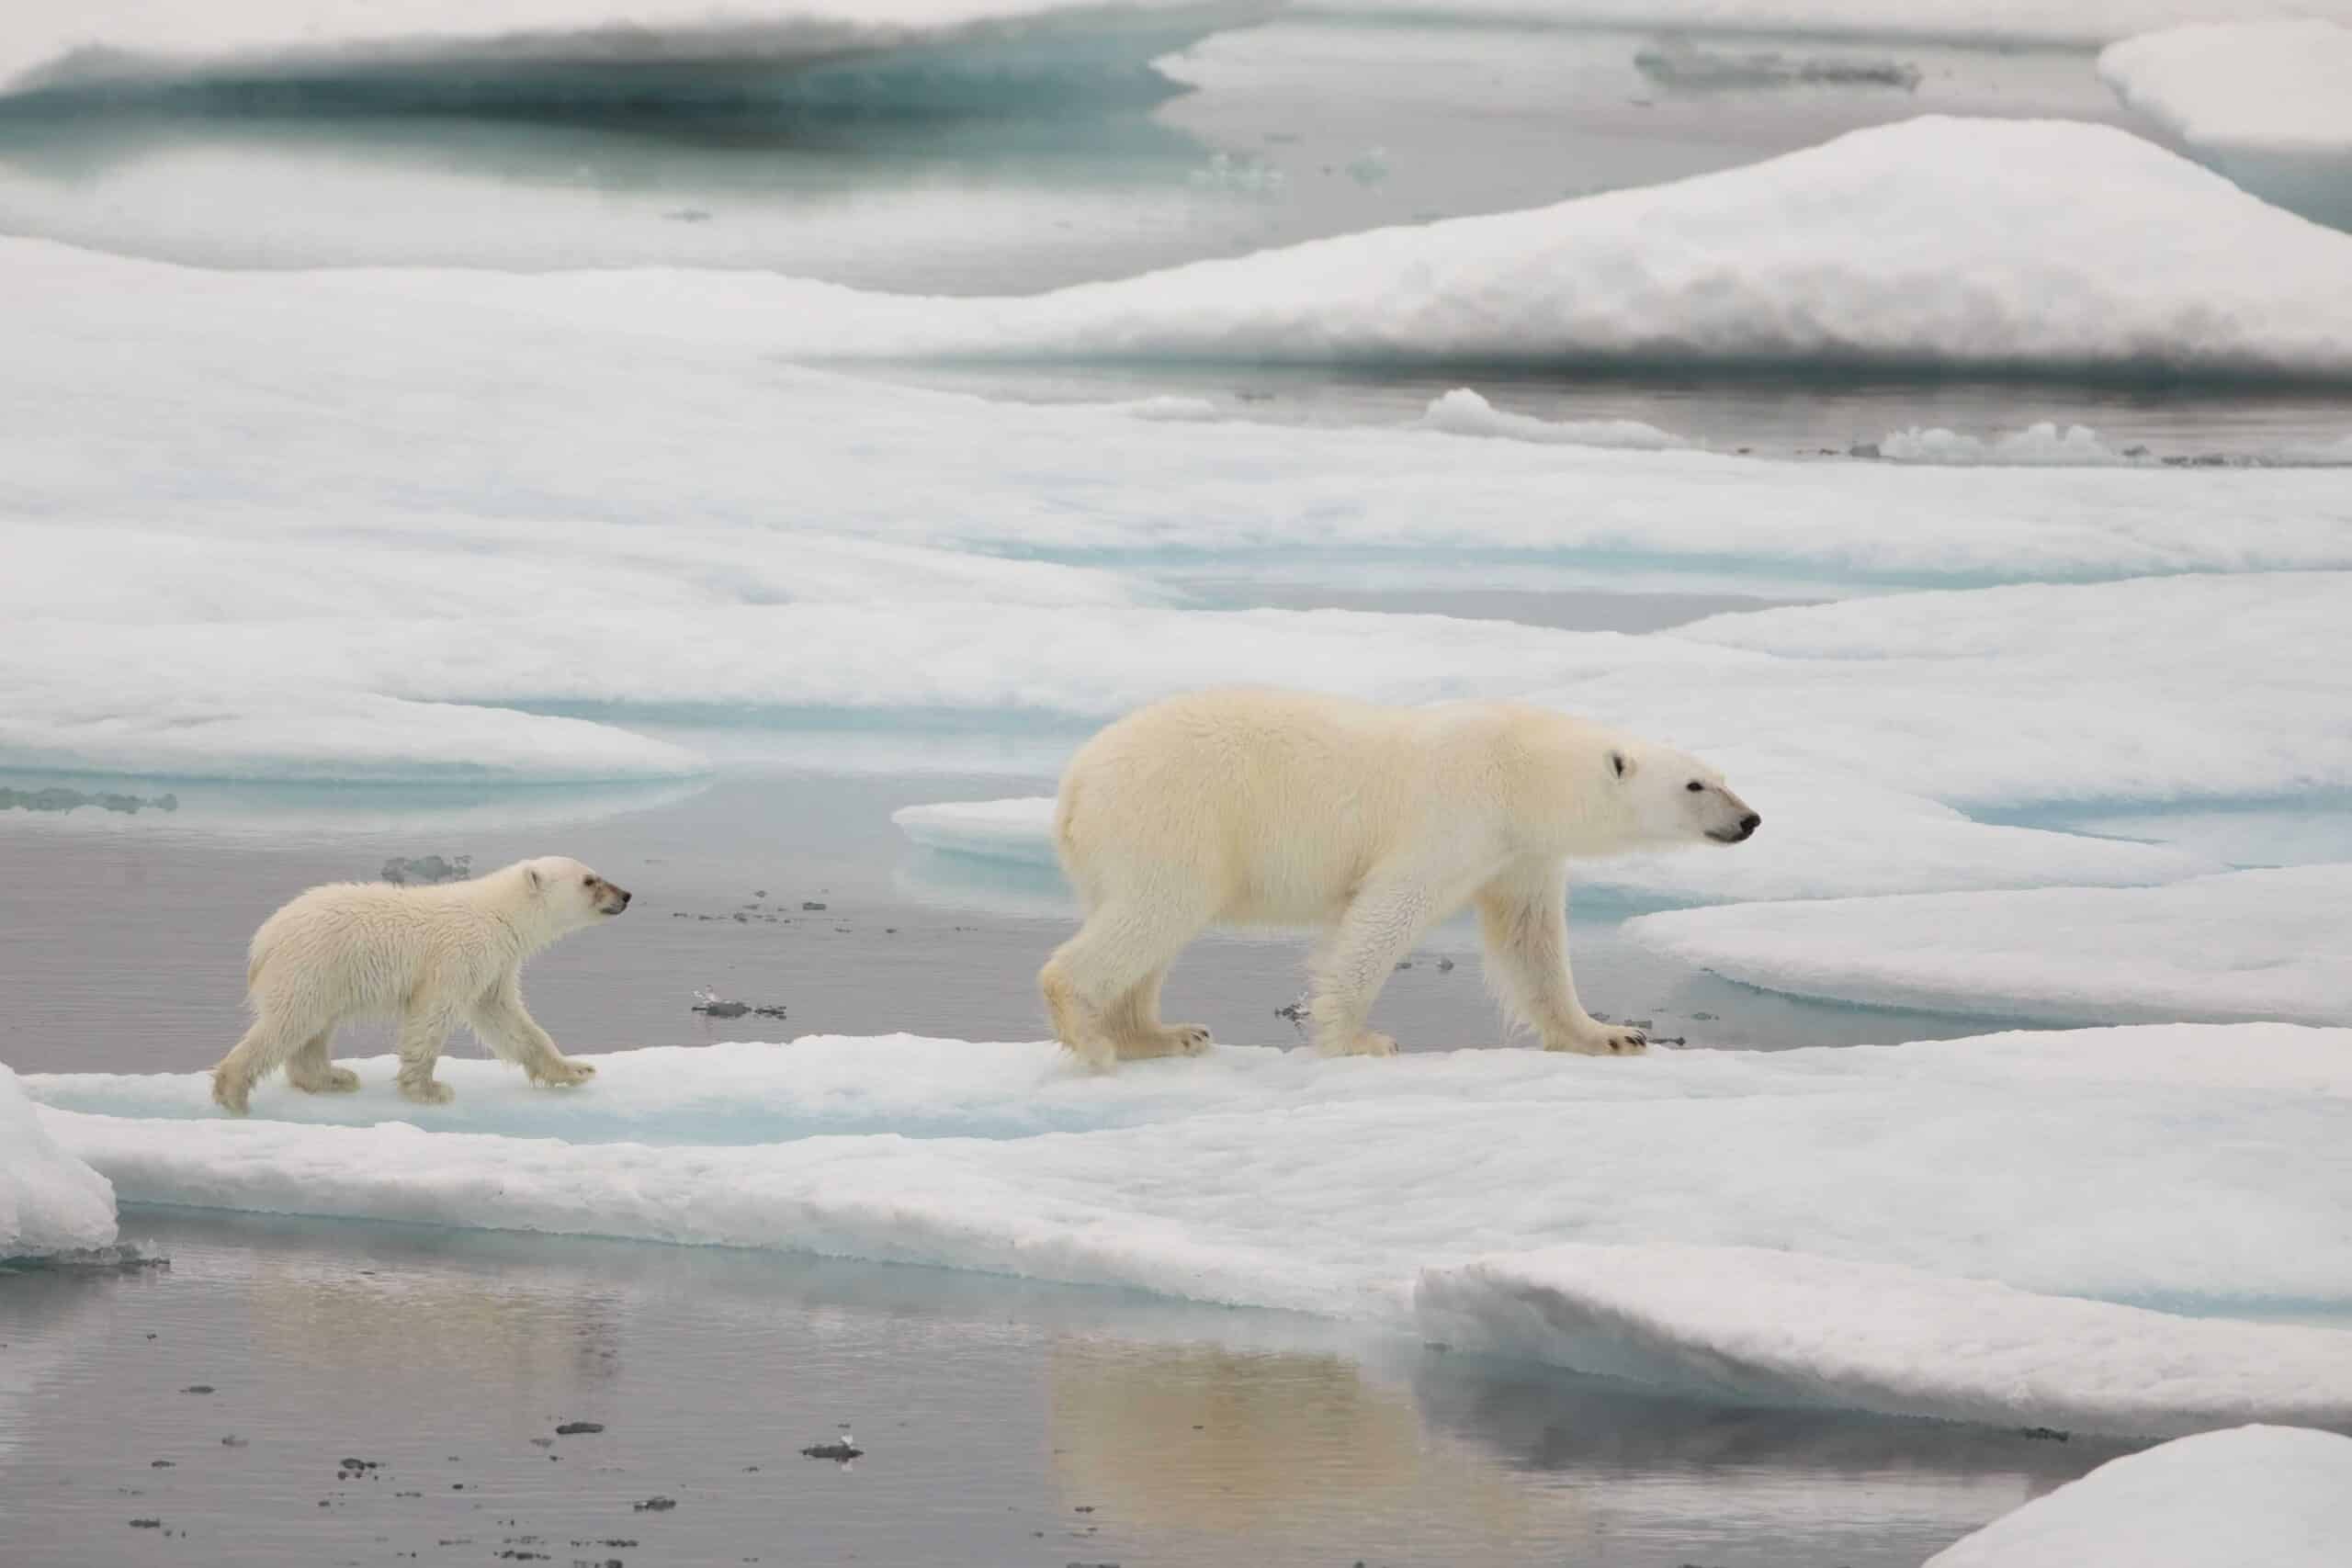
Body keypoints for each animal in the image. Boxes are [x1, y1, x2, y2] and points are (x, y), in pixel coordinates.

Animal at [210, 855, 631, 1115]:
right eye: (590, 880)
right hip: (313, 965)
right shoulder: (459, 954)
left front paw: (575, 1071)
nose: (626, 895)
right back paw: (233, 1093)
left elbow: (507, 1019)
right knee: (291, 1022)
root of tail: (264, 939)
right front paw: (429, 1089)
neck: (499, 914)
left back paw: (333, 1077)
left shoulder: (495, 967)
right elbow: (431, 1016)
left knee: (312, 1029)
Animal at [1037, 688, 1758, 1069]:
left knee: (1151, 936)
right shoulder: (1457, 817)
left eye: (1721, 775)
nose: (1750, 820)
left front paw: (1612, 1034)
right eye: (1696, 785)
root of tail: (1076, 781)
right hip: (1176, 818)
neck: (1521, 769)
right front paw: (1360, 1039)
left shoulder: (1518, 852)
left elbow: (1531, 943)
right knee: (1155, 912)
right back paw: (1093, 1035)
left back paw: (1162, 1033)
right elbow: (1385, 914)